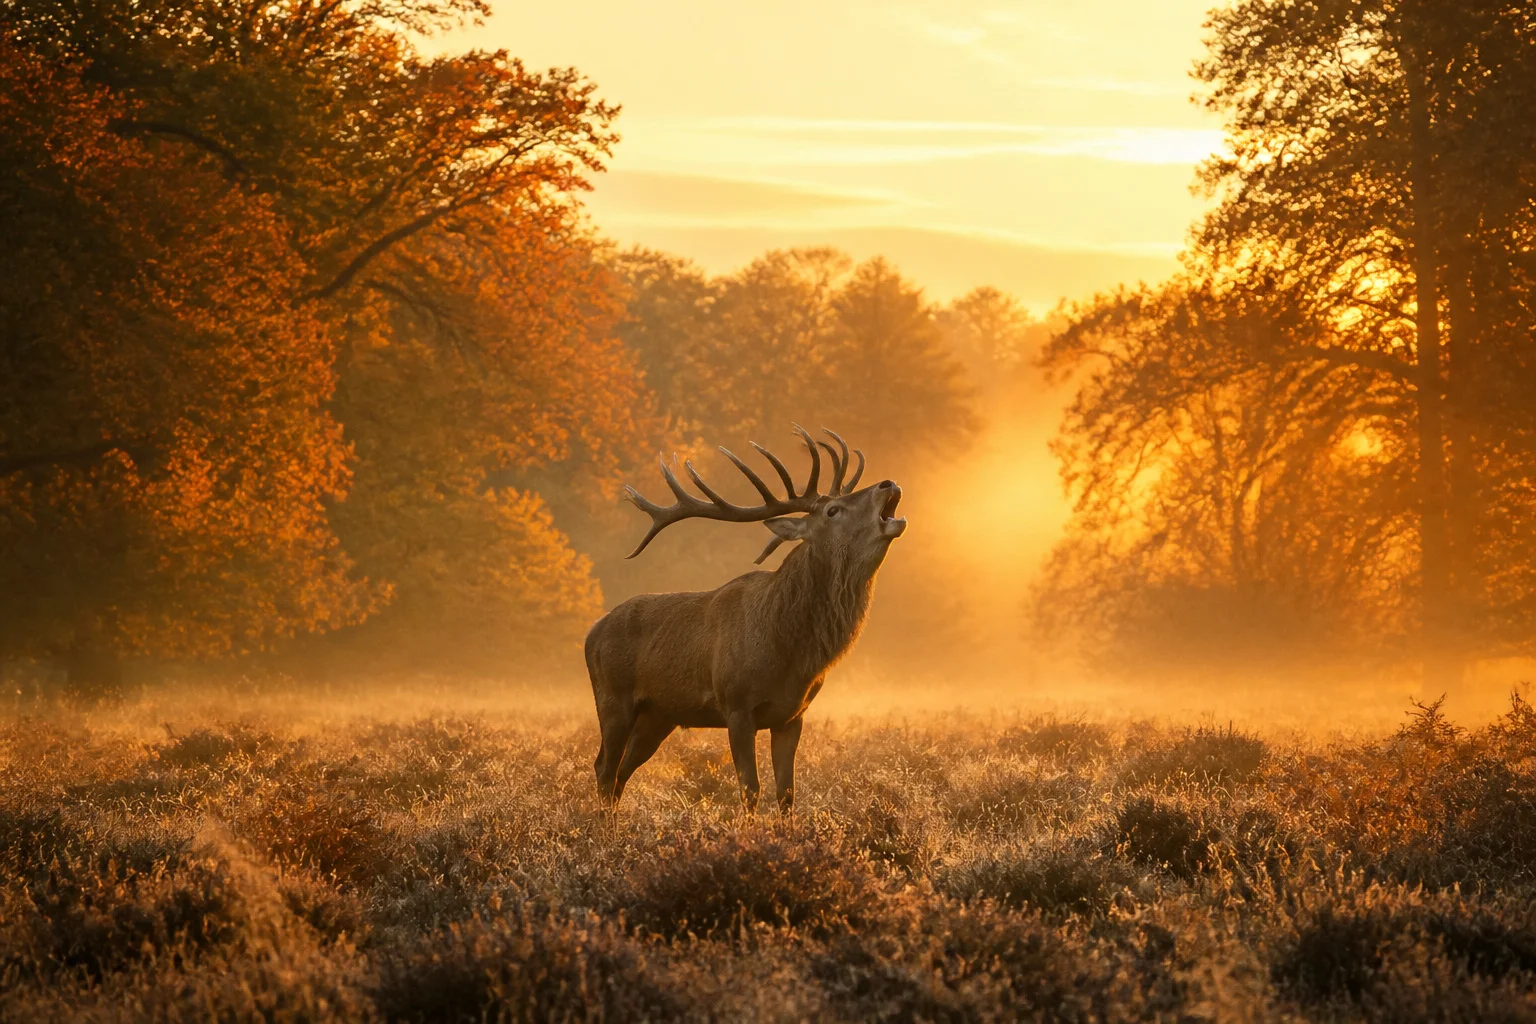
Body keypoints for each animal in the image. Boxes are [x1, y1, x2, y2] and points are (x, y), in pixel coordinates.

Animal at [584, 426, 906, 811]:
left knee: (620, 773)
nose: (887, 483)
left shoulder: (792, 715)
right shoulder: (735, 705)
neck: (788, 651)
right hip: (612, 698)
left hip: (657, 716)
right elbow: (750, 789)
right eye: (833, 510)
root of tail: (591, 633)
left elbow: (787, 792)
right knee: (604, 767)